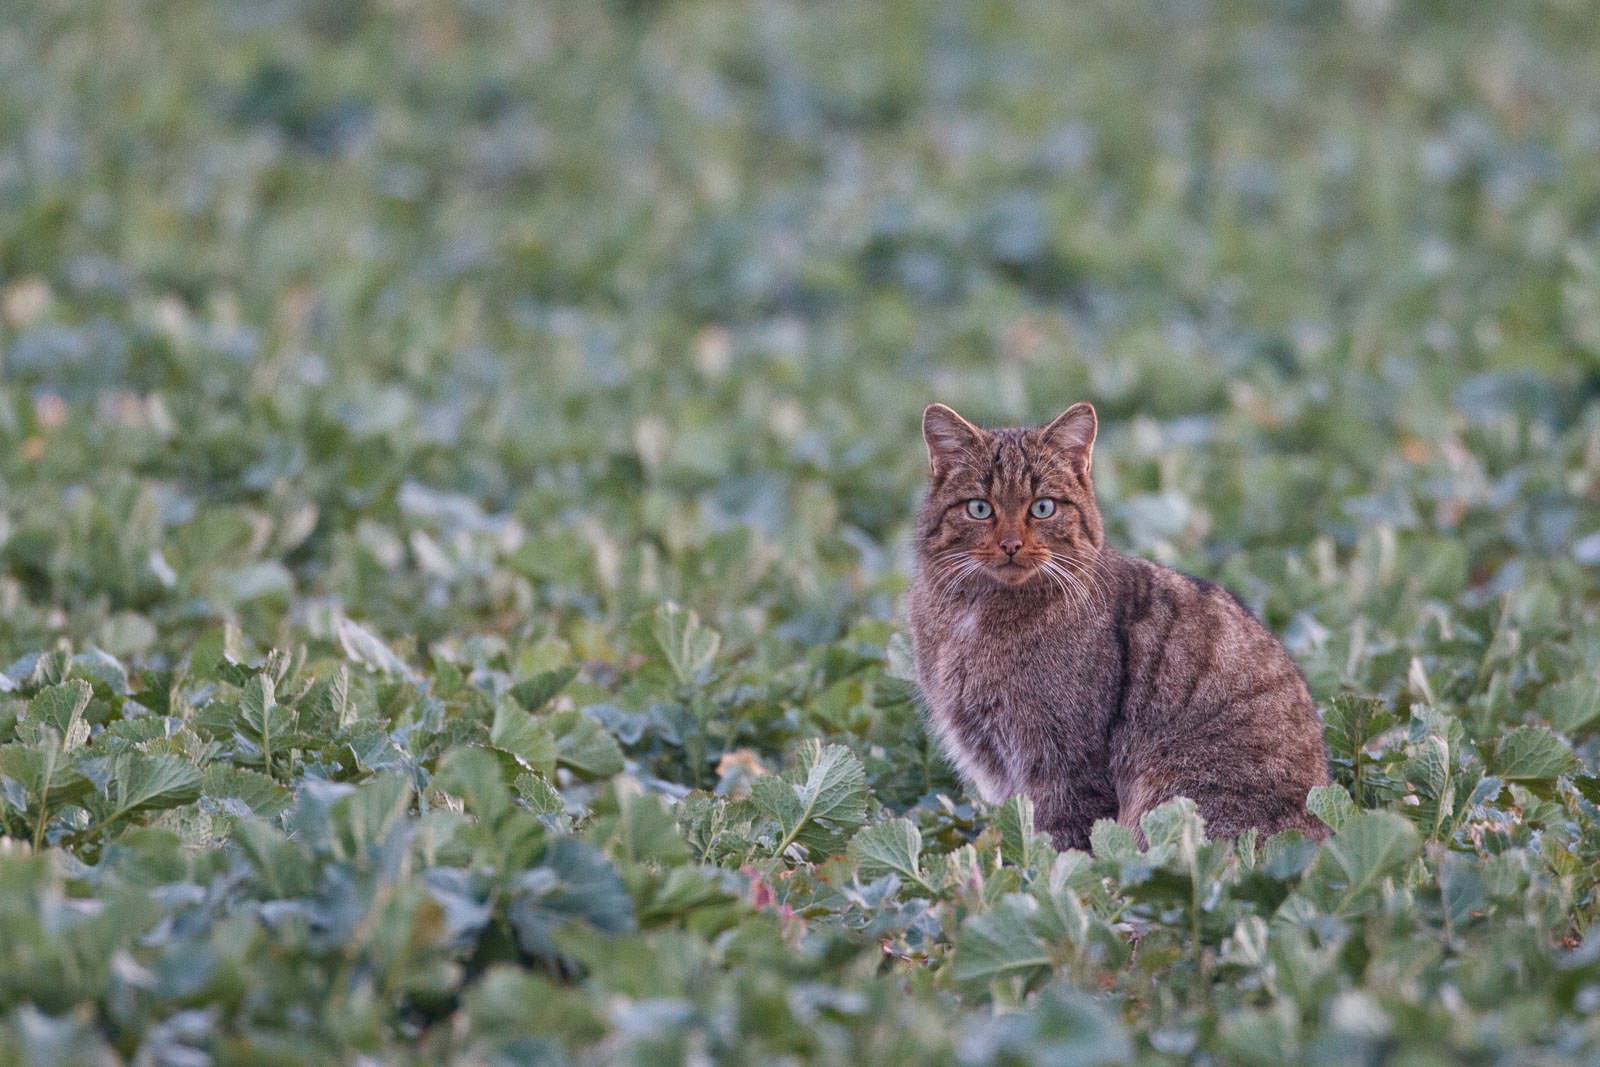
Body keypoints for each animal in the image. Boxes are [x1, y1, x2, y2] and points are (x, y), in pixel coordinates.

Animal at [909, 401, 1330, 849]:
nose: (1010, 544)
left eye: (1042, 507)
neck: (978, 612)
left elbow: (1065, 847)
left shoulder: (1067, 765)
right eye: (979, 508)